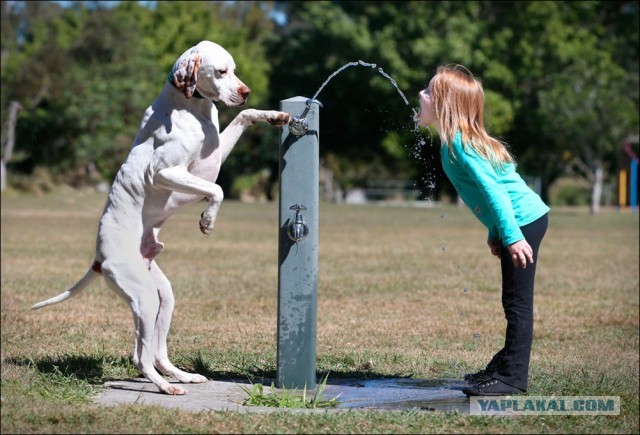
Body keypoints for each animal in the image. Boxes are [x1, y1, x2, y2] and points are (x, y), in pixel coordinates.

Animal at [30, 41, 290, 398]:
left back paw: (182, 376)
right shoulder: (168, 172)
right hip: (144, 297)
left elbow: (243, 116)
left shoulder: (213, 158)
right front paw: (207, 220)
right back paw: (166, 387)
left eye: (235, 70)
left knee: (156, 351)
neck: (190, 107)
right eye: (221, 71)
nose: (246, 91)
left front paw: (275, 116)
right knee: (140, 356)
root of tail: (99, 258)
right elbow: (218, 189)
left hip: (162, 297)